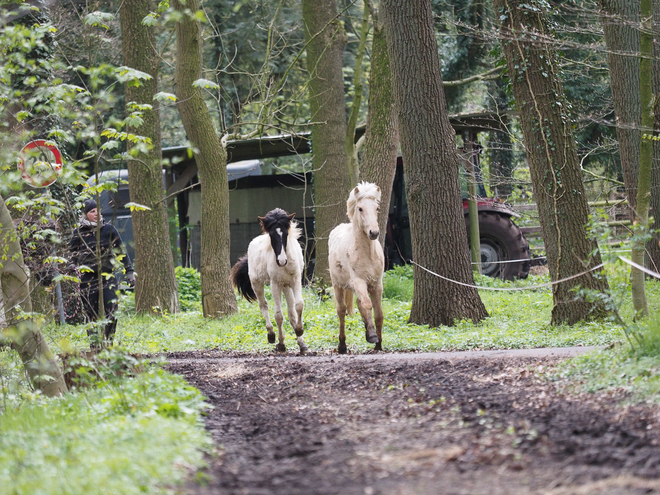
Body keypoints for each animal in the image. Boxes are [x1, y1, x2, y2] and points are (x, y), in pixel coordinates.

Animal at [229, 207, 306, 354]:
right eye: (271, 235)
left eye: (286, 233)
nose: (281, 261)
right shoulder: (274, 284)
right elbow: (278, 315)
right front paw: (281, 344)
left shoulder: (295, 280)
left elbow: (298, 306)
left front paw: (299, 332)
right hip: (257, 284)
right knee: (263, 305)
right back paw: (271, 335)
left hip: (286, 286)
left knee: (290, 312)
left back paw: (300, 341)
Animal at [328, 181, 384, 352]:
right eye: (360, 208)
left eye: (377, 208)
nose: (374, 233)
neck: (367, 254)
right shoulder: (359, 281)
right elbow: (367, 305)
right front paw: (372, 336)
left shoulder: (377, 284)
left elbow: (379, 313)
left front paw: (378, 344)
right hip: (338, 285)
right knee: (341, 311)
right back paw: (342, 345)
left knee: (359, 304)